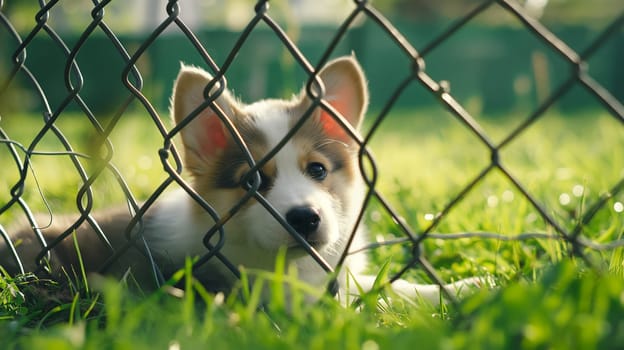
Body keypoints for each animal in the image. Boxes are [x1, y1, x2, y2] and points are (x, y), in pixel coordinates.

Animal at [0, 56, 482, 304]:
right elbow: (365, 298)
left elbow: (386, 285)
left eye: (318, 170)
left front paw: (464, 287)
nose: (305, 219)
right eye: (250, 181)